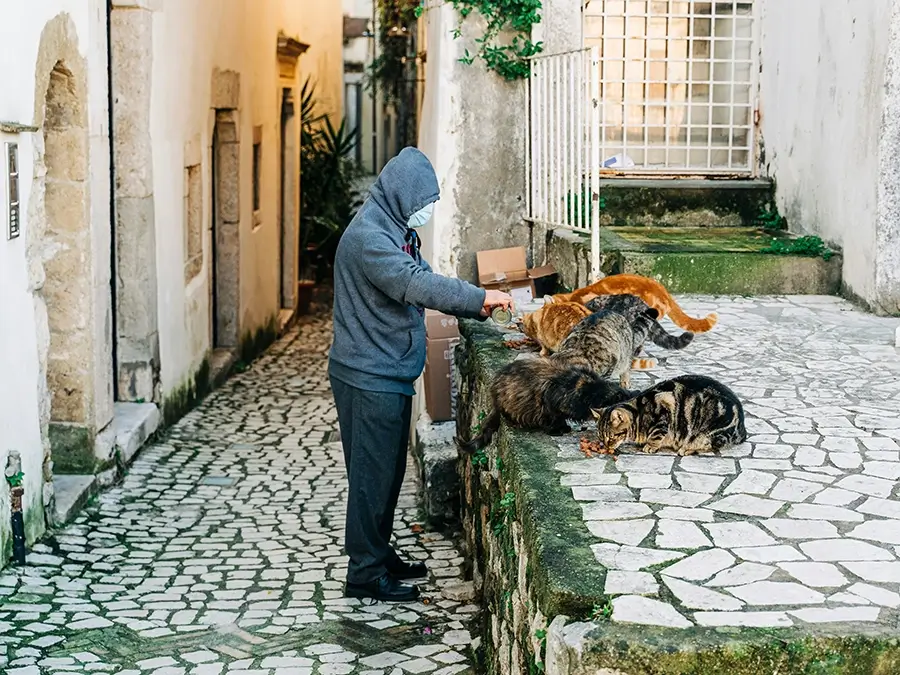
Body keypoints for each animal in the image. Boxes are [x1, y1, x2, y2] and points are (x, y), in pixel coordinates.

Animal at [592, 374, 744, 460]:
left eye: (612, 437)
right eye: (601, 437)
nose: (607, 447)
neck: (639, 414)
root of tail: (743, 430)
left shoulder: (664, 410)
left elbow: (656, 435)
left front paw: (650, 446)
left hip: (709, 432)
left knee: (710, 445)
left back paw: (687, 448)